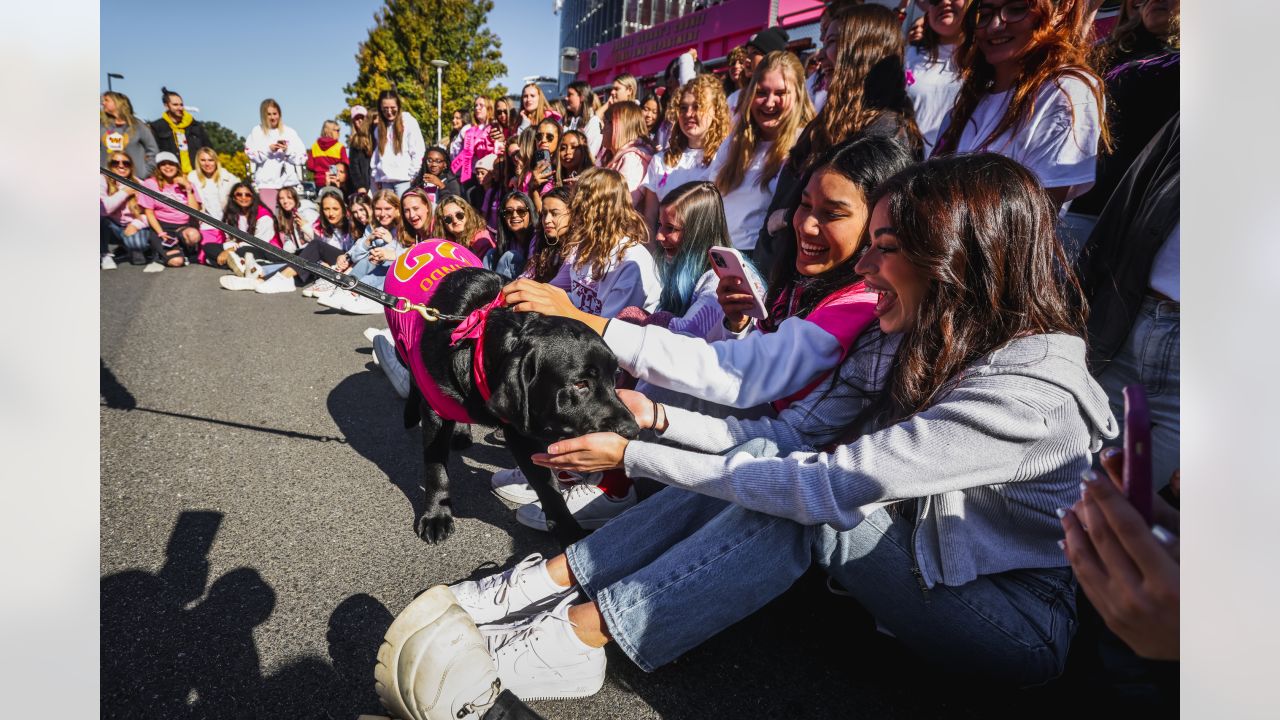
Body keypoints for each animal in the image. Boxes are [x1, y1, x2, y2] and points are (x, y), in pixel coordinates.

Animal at [399, 267, 640, 543]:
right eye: (580, 384)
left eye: (615, 376)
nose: (633, 431)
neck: (476, 345)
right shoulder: (435, 411)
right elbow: (436, 467)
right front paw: (436, 515)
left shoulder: (518, 424)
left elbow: (547, 485)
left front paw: (570, 533)